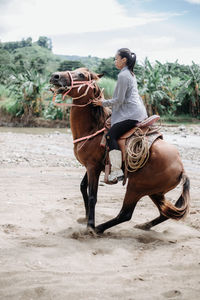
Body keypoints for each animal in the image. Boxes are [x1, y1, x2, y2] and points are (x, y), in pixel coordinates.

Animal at [49, 68, 190, 234]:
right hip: (155, 192)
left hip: (136, 188)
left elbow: (92, 197)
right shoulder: (93, 167)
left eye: (82, 75)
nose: (55, 76)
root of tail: (181, 168)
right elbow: (83, 187)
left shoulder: (92, 167)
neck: (93, 128)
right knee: (166, 212)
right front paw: (85, 217)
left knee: (126, 214)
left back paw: (98, 229)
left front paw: (90, 225)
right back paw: (144, 225)